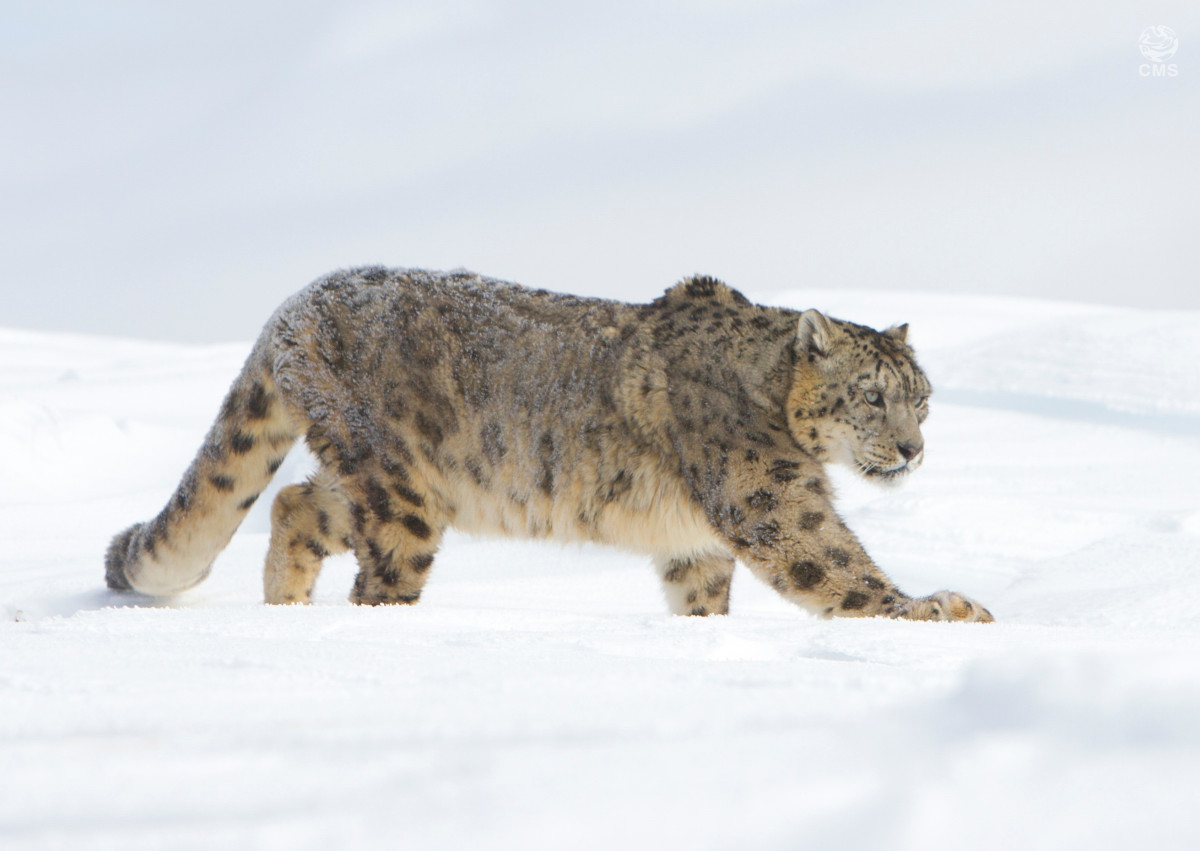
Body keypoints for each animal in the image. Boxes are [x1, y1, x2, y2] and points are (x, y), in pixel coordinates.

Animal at [105, 267, 993, 622]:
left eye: (923, 399)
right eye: (872, 395)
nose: (912, 451)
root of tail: (298, 303)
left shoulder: (696, 543)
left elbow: (702, 595)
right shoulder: (769, 497)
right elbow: (839, 565)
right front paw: (940, 608)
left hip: (376, 478)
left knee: (292, 501)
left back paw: (283, 609)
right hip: (402, 492)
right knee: (374, 572)